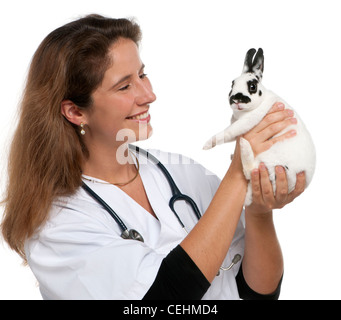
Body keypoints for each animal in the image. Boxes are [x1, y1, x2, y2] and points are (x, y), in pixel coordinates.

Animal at [202, 48, 316, 206]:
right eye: (232, 84)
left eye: (252, 86)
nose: (236, 99)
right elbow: (230, 136)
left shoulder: (248, 120)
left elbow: (228, 132)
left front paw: (208, 144)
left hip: (273, 163)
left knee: (250, 170)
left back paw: (244, 146)